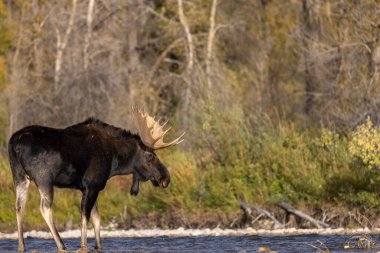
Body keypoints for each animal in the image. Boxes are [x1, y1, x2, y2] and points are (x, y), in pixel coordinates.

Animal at [7, 107, 183, 252]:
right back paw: (61, 245)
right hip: (44, 178)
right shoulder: (92, 184)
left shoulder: (91, 187)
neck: (115, 160)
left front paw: (98, 246)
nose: (165, 178)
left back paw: (21, 246)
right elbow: (85, 216)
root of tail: (15, 144)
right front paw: (83, 246)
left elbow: (97, 218)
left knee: (19, 206)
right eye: (150, 155)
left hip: (19, 176)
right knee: (44, 208)